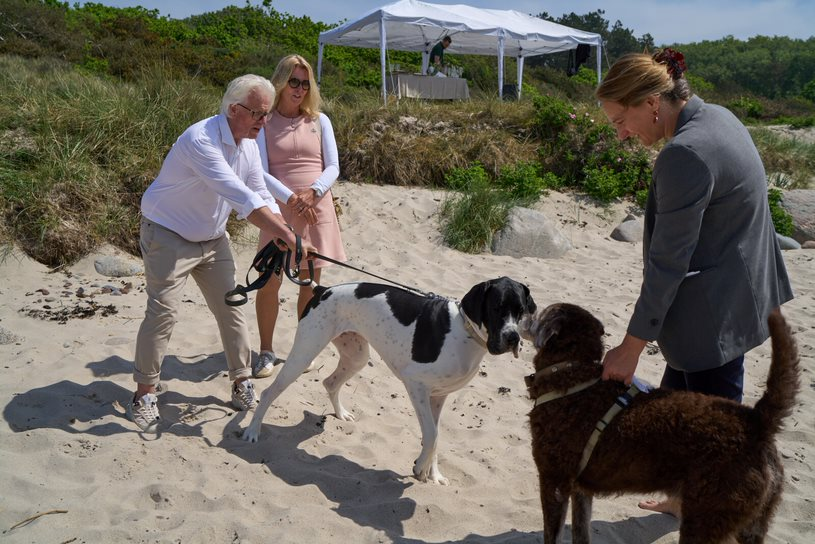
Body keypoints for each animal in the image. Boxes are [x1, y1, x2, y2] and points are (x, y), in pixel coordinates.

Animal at [242, 276, 536, 484]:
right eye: (496, 308)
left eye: (521, 311)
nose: (513, 338)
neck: (464, 331)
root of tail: (323, 289)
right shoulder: (416, 384)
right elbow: (432, 434)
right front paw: (419, 467)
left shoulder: (438, 396)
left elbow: (436, 437)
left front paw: (432, 474)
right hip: (304, 353)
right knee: (268, 393)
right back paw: (252, 432)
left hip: (356, 356)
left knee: (330, 382)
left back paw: (341, 414)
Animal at [524, 302, 800, 544]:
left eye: (539, 313)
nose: (525, 311)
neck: (573, 375)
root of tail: (756, 422)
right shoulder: (581, 489)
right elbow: (581, 533)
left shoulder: (553, 480)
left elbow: (552, 534)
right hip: (751, 523)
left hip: (706, 517)